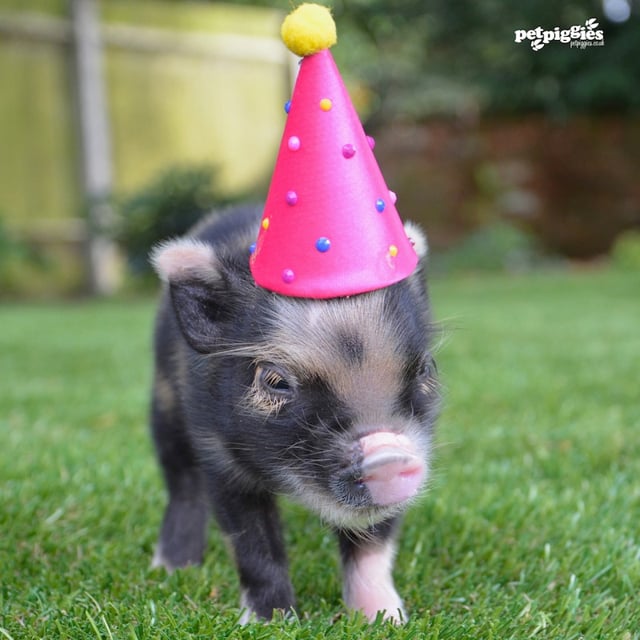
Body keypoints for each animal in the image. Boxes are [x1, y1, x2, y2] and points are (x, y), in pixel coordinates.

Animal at [149, 203, 439, 623]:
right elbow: (253, 545)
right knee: (182, 483)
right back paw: (171, 569)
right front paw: (268, 622)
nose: (387, 453)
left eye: (425, 368)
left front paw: (386, 619)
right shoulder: (220, 455)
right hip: (164, 403)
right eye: (276, 380)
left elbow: (373, 547)